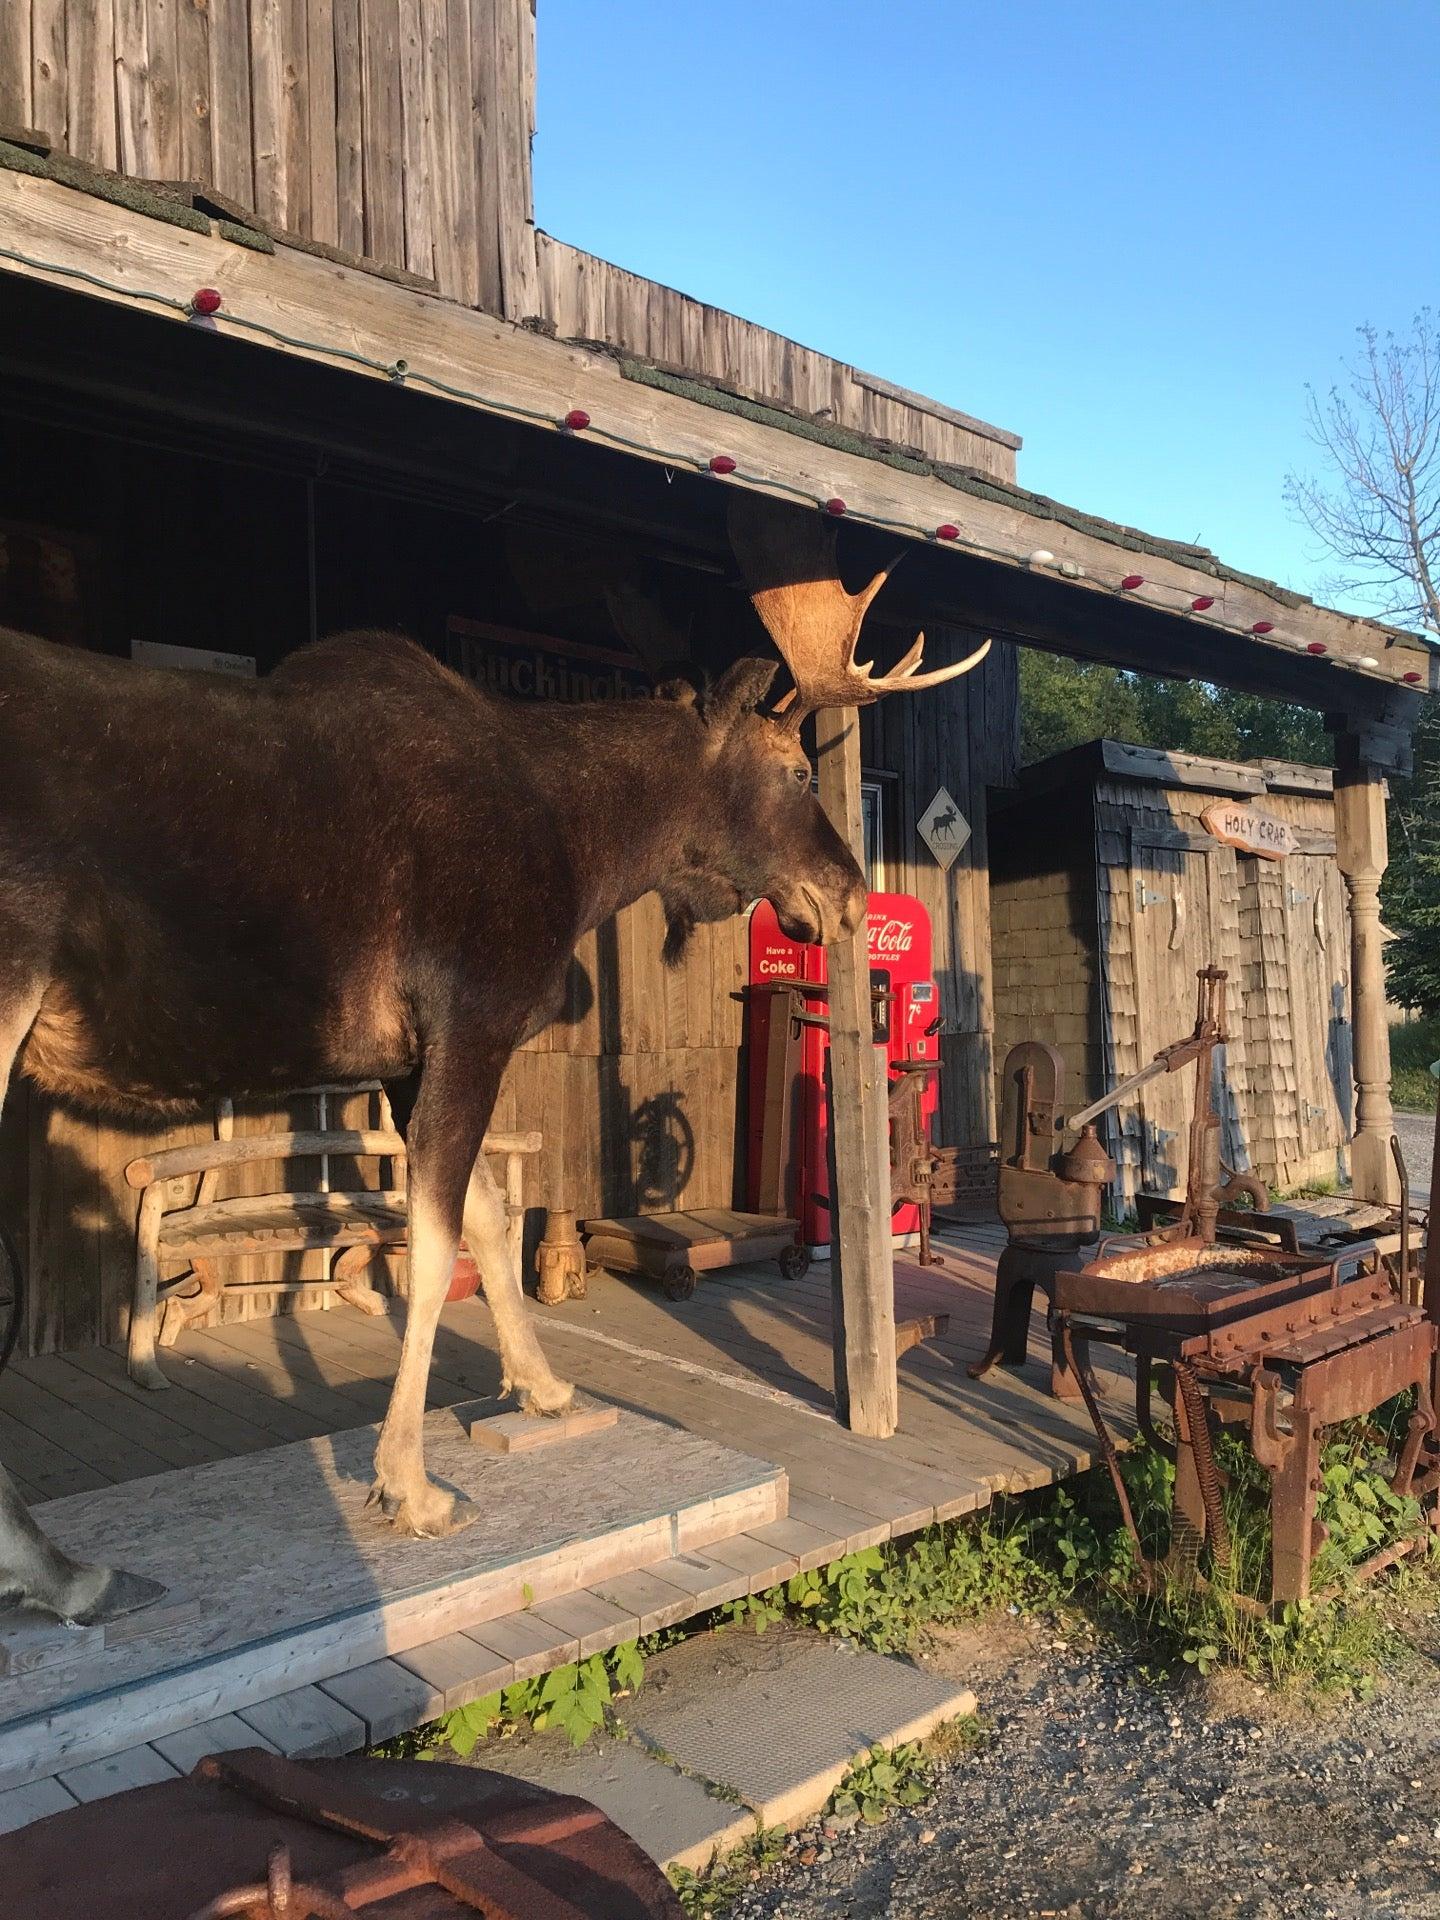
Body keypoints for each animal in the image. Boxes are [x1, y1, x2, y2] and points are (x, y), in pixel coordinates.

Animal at [0, 499, 990, 1620]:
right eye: (794, 772)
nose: (854, 896)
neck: (589, 848)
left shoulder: (407, 1058)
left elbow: (482, 1215)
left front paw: (545, 1387)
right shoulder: (471, 1020)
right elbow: (436, 1250)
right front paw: (409, 1483)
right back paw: (57, 1567)